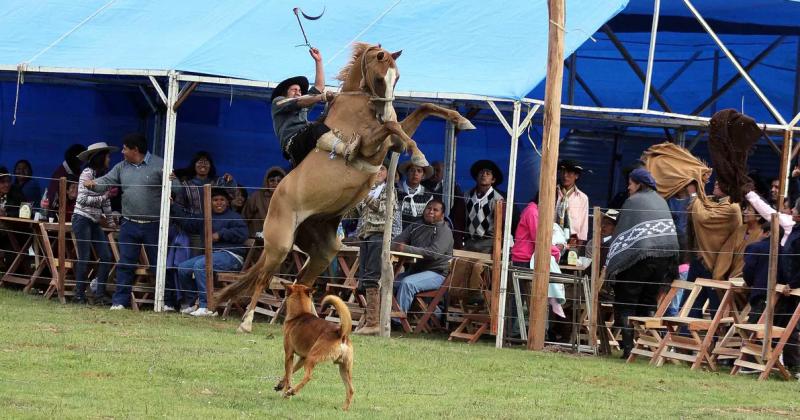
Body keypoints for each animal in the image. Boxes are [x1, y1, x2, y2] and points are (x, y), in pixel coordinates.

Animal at [216, 41, 476, 332]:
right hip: (280, 244)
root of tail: (275, 199)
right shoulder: (370, 146)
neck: (358, 103)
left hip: (323, 250)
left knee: (301, 282)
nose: (386, 109)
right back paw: (246, 323)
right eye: (379, 78)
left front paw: (461, 121)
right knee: (263, 278)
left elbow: (420, 111)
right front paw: (419, 154)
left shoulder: (390, 144)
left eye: (397, 77)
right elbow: (392, 126)